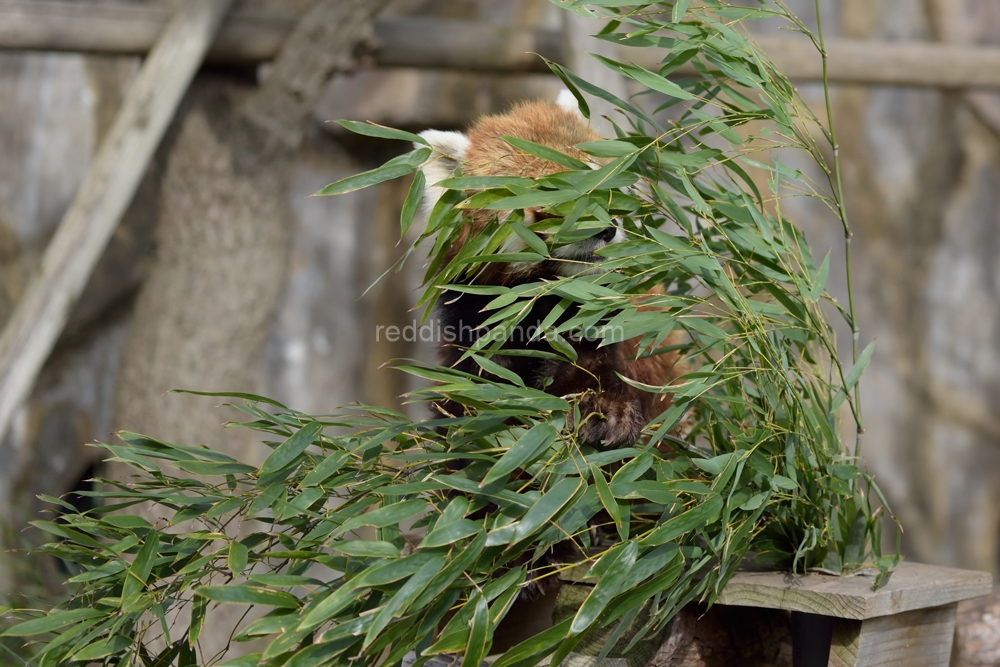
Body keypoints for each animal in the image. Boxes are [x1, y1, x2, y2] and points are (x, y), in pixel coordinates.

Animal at [416, 96, 688, 448]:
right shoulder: (473, 313)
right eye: (551, 200)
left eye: (602, 185)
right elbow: (477, 384)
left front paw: (604, 410)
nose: (606, 229)